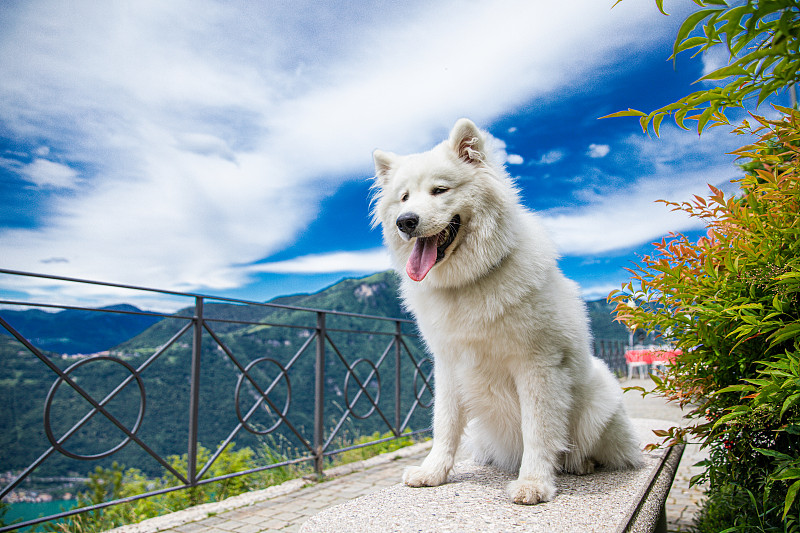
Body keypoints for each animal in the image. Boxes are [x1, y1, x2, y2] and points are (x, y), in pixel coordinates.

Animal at [372, 117, 640, 502]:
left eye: (439, 190)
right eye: (404, 197)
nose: (405, 221)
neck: (469, 282)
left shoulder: (537, 365)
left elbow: (538, 430)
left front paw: (533, 483)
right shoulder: (449, 364)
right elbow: (444, 424)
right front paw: (433, 472)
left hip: (601, 396)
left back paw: (581, 463)